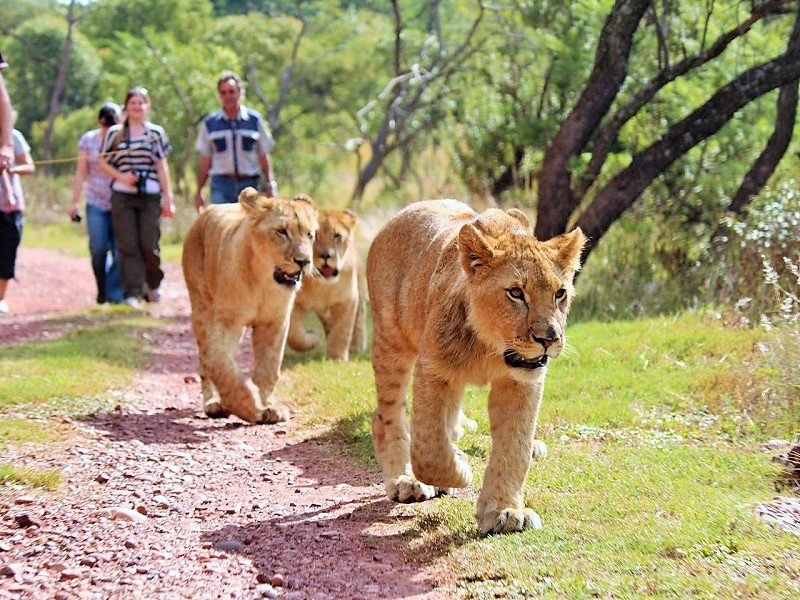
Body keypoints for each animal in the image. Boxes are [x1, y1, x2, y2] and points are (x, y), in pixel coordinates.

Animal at [183, 188, 318, 422]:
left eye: (309, 234)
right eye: (282, 232)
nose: (304, 261)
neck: (262, 283)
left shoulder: (275, 322)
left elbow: (269, 367)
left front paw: (268, 407)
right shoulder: (226, 321)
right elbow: (219, 363)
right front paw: (246, 405)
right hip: (201, 308)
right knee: (206, 362)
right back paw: (213, 404)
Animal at [288, 209, 368, 360]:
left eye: (337, 235)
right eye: (314, 236)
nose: (326, 256)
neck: (324, 286)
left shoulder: (347, 300)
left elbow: (342, 331)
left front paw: (337, 358)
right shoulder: (296, 302)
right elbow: (294, 334)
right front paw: (313, 339)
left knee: (359, 320)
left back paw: (356, 347)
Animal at [366, 202, 584, 536]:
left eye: (560, 293)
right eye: (516, 293)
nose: (549, 338)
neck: (490, 349)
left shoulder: (520, 384)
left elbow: (514, 448)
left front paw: (505, 511)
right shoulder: (432, 369)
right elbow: (429, 449)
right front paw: (460, 472)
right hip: (391, 340)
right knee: (387, 417)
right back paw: (406, 480)